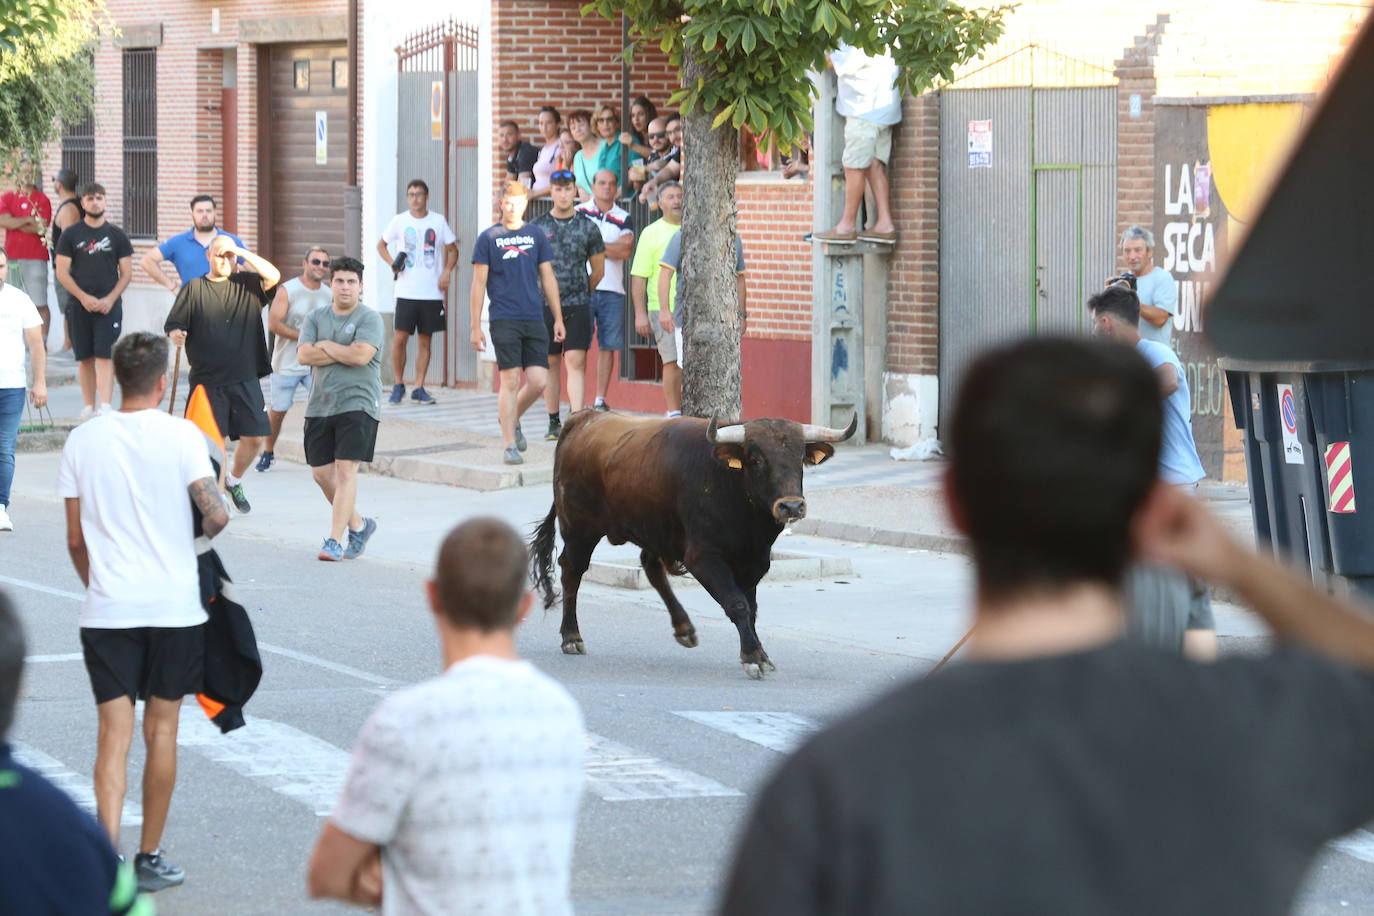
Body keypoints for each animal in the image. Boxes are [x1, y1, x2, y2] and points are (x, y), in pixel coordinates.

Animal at [530, 411, 851, 678]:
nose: (792, 506)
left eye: (799, 458)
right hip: (579, 530)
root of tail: (585, 418)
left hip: (656, 529)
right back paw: (571, 637)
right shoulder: (703, 557)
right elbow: (737, 604)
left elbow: (751, 607)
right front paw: (752, 657)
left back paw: (684, 628)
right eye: (756, 459)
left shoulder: (755, 561)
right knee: (572, 572)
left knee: (650, 566)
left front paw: (757, 650)